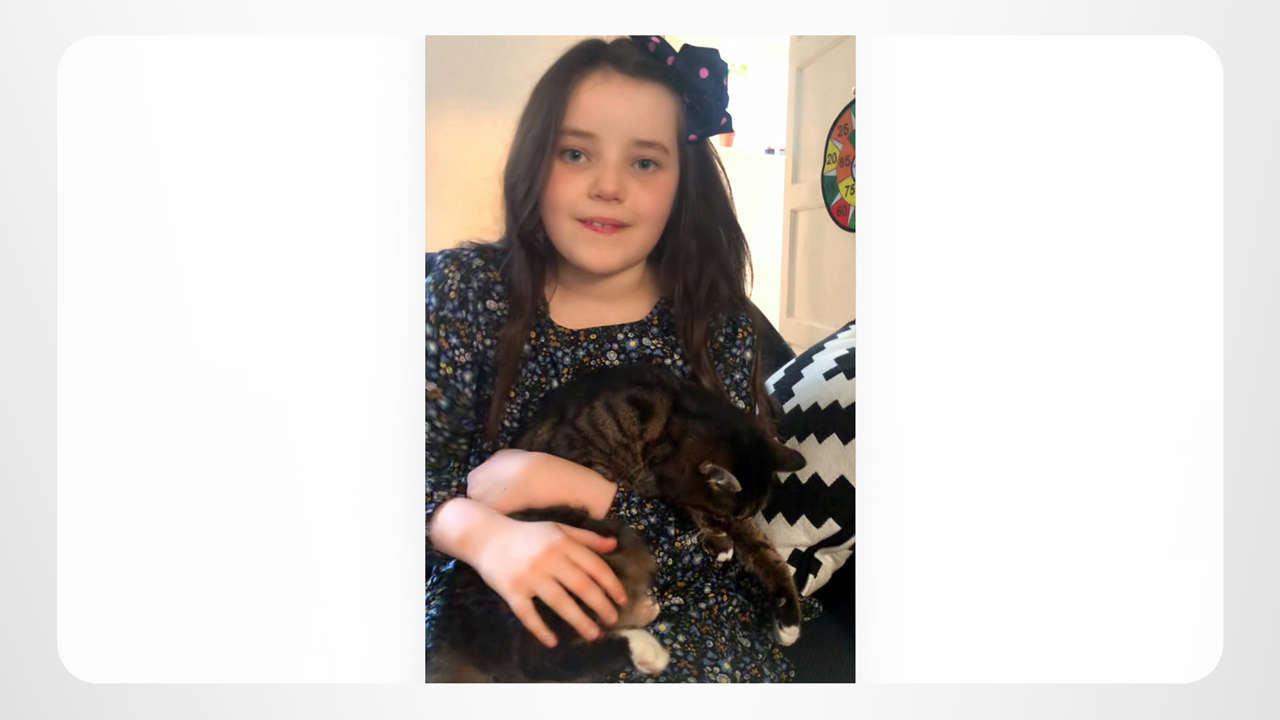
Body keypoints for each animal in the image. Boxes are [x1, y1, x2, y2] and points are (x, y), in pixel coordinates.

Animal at [513, 363, 809, 645]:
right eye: (723, 515)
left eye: (743, 515)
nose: (729, 526)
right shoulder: (660, 480)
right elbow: (695, 511)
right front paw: (721, 543)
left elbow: (764, 550)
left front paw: (789, 620)